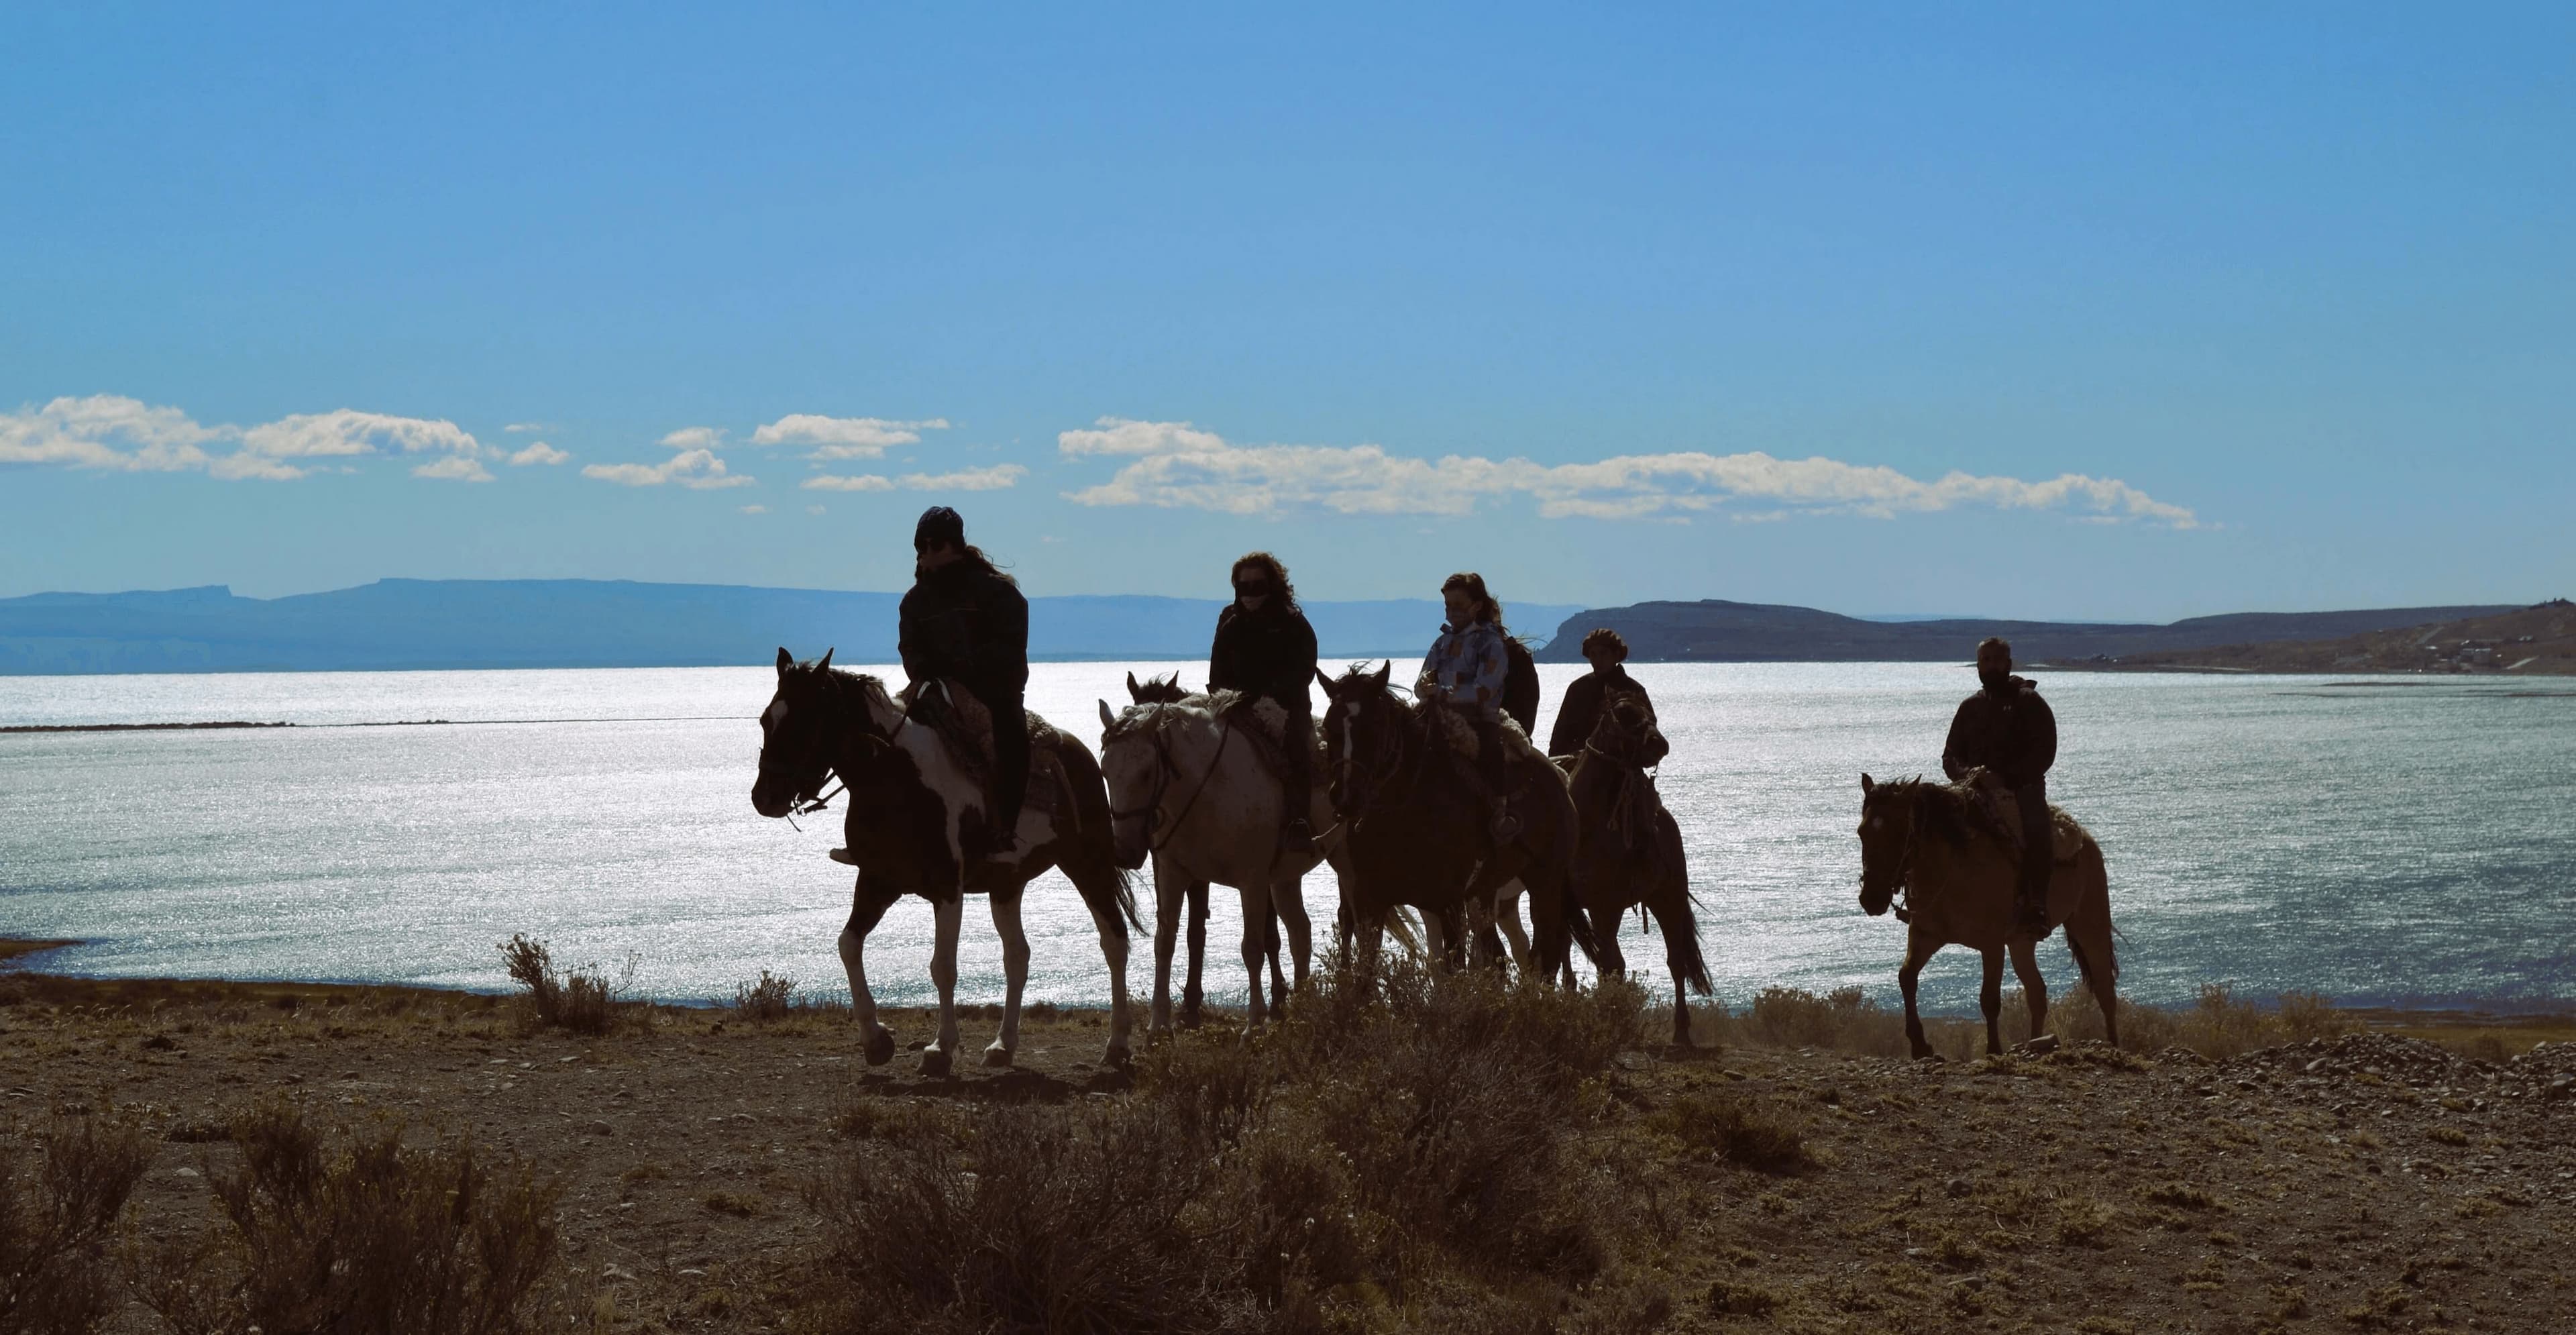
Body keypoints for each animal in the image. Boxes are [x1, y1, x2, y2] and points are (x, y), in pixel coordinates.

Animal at [752, 649, 1143, 1077]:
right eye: (766, 719)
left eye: (803, 720)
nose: (763, 797)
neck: (895, 778)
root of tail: (1079, 753)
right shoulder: (877, 881)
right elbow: (848, 945)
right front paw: (876, 1040)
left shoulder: (947, 888)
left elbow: (943, 967)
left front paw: (940, 1049)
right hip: (1007, 885)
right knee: (1017, 957)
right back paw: (1003, 1046)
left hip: (1087, 864)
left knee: (1114, 941)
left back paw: (1118, 1045)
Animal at [1319, 659, 1597, 984]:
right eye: (1328, 727)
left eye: (1373, 727)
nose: (1345, 796)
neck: (1403, 815)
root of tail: (1558, 776)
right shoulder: (1370, 902)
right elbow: (1368, 973)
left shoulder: (1446, 905)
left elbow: (1453, 973)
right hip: (1486, 893)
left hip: (1546, 881)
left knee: (1547, 955)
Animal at [1865, 767, 2123, 1061]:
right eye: (1862, 832)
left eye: (1898, 834)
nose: (1870, 899)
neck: (1952, 864)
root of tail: (2086, 840)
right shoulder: (1926, 936)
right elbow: (1907, 977)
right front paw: (1920, 1045)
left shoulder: (1992, 944)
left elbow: (1989, 999)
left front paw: (1993, 1049)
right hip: (2022, 942)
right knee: (2037, 993)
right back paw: (2036, 1043)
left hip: (2089, 924)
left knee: (2104, 989)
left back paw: (2114, 1044)